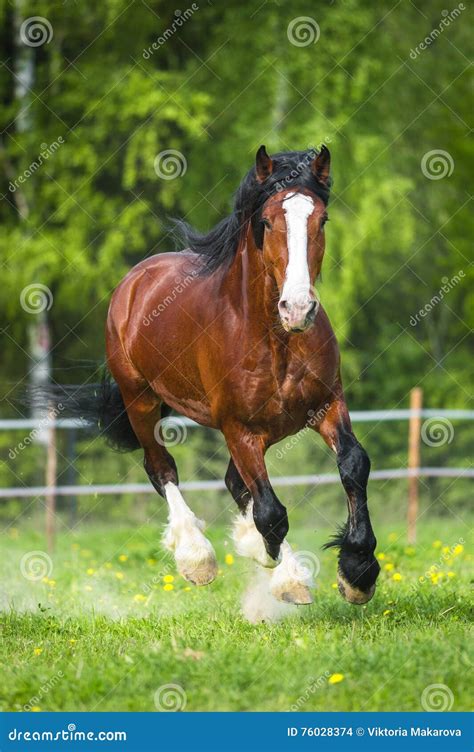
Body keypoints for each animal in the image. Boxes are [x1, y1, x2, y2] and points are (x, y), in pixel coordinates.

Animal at [45, 145, 378, 612]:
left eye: (322, 220)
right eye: (267, 221)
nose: (297, 309)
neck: (275, 338)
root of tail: (136, 279)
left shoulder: (327, 405)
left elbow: (353, 464)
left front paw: (358, 573)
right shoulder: (238, 428)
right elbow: (271, 513)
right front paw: (274, 563)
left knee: (236, 483)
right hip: (141, 401)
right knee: (162, 468)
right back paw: (199, 558)